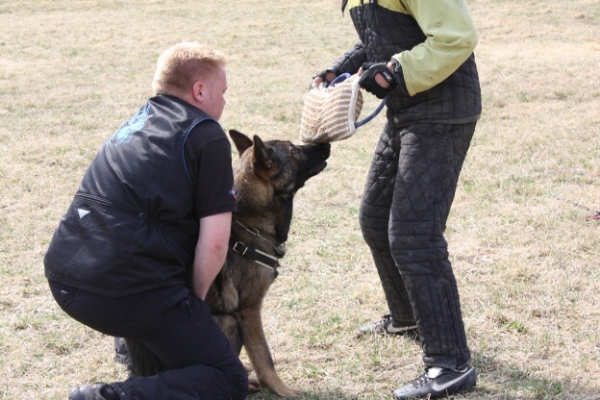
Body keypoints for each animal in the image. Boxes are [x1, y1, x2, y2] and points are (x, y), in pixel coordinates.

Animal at [125, 130, 332, 396]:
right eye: (294, 151)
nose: (326, 144)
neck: (251, 223)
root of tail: (141, 370)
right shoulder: (249, 310)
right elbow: (264, 357)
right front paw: (282, 389)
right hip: (229, 323)